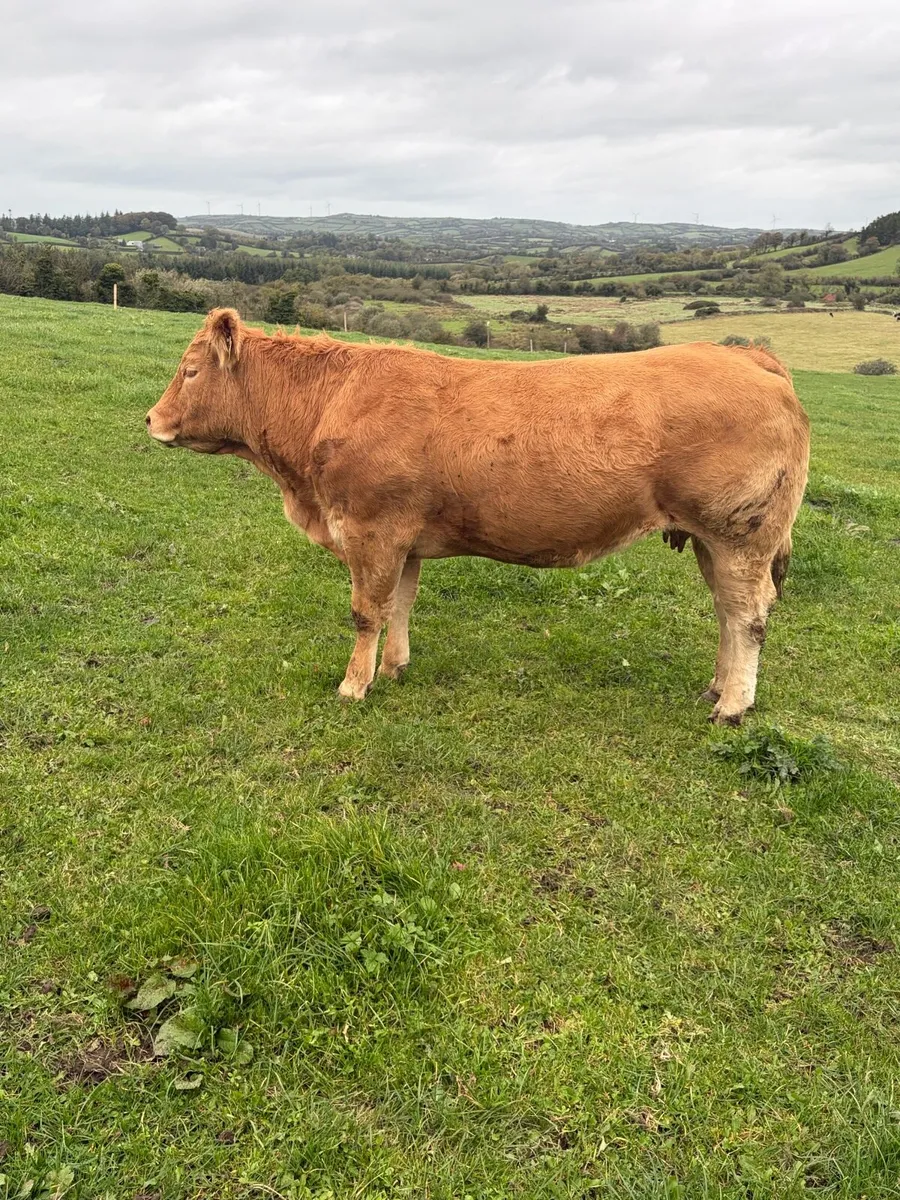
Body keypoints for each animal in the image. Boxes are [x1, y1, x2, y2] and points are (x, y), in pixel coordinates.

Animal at [147, 309, 810, 725]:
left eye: (191, 370)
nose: (151, 419)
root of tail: (750, 358)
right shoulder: (404, 538)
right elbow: (400, 605)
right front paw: (394, 669)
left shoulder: (371, 530)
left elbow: (366, 613)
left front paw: (353, 686)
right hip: (711, 540)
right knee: (726, 613)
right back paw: (718, 687)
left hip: (741, 536)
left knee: (748, 618)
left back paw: (733, 706)